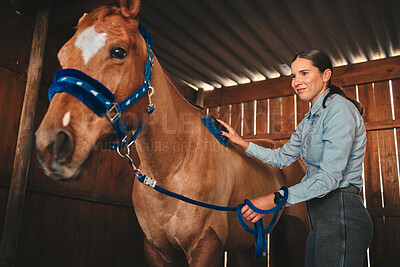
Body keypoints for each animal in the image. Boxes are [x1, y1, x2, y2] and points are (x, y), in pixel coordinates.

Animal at [36, 1, 308, 266]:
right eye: (62, 55)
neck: (171, 170)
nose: (50, 144)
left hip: (295, 230)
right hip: (245, 243)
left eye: (119, 51)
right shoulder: (156, 250)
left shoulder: (206, 245)